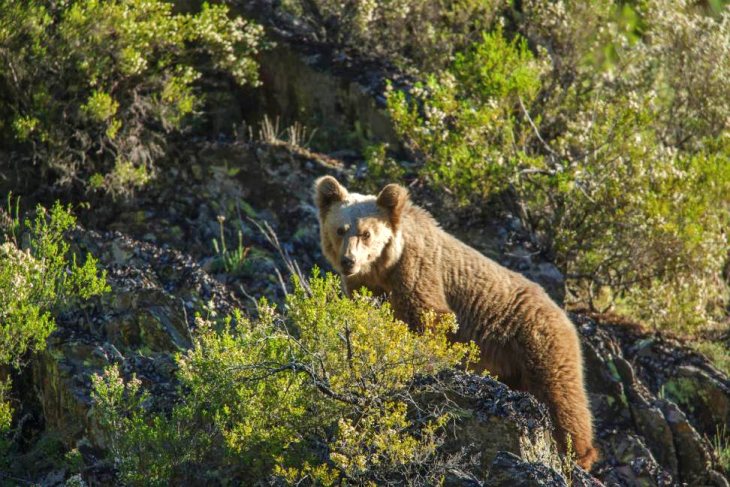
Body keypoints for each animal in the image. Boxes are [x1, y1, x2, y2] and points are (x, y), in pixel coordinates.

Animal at [314, 175, 598, 470]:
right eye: (340, 229)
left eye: (366, 233)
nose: (349, 260)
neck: (384, 269)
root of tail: (563, 313)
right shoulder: (365, 287)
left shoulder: (417, 272)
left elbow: (428, 319)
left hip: (536, 340)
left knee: (560, 394)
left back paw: (578, 455)